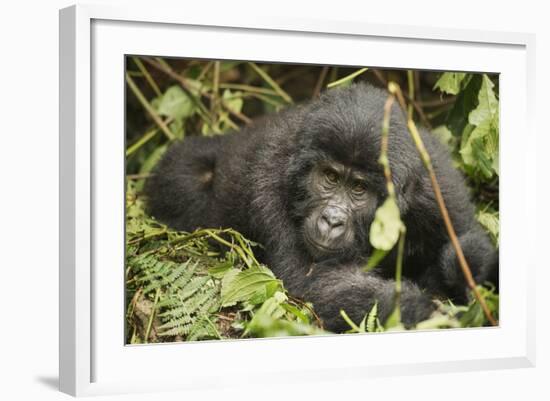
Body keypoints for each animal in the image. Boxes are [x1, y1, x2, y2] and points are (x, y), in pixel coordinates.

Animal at [147, 82, 500, 332]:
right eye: (329, 177)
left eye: (358, 188)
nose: (331, 221)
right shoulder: (267, 181)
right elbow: (313, 284)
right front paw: (423, 311)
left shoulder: (439, 189)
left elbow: (466, 238)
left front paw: (470, 271)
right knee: (186, 175)